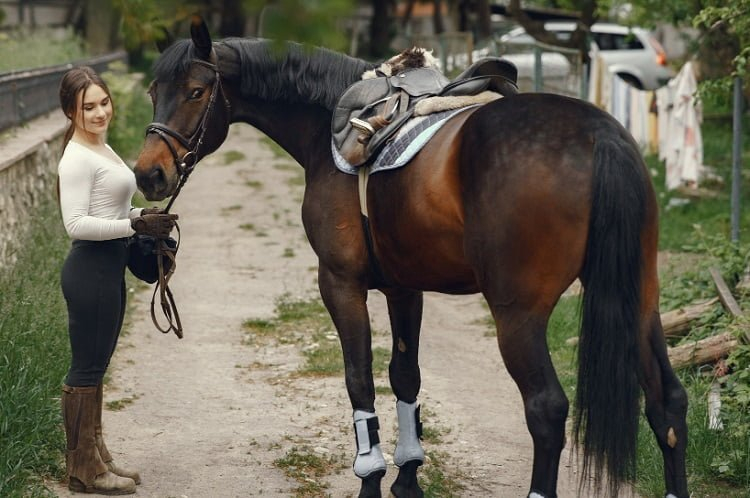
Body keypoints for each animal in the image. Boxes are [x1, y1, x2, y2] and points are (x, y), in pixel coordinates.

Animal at [133, 16, 689, 498]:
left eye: (197, 92)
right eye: (153, 92)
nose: (149, 174)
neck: (328, 126)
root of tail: (599, 134)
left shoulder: (339, 282)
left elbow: (358, 377)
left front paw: (371, 478)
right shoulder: (404, 287)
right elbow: (406, 375)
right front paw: (407, 477)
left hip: (518, 315)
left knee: (547, 409)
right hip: (638, 302)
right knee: (668, 404)